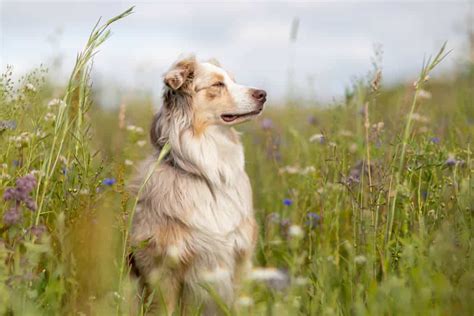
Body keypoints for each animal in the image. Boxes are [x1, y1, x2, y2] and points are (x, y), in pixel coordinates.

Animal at [130, 55, 266, 314]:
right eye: (218, 85)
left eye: (233, 80)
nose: (263, 94)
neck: (209, 175)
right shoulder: (163, 270)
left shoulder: (240, 260)